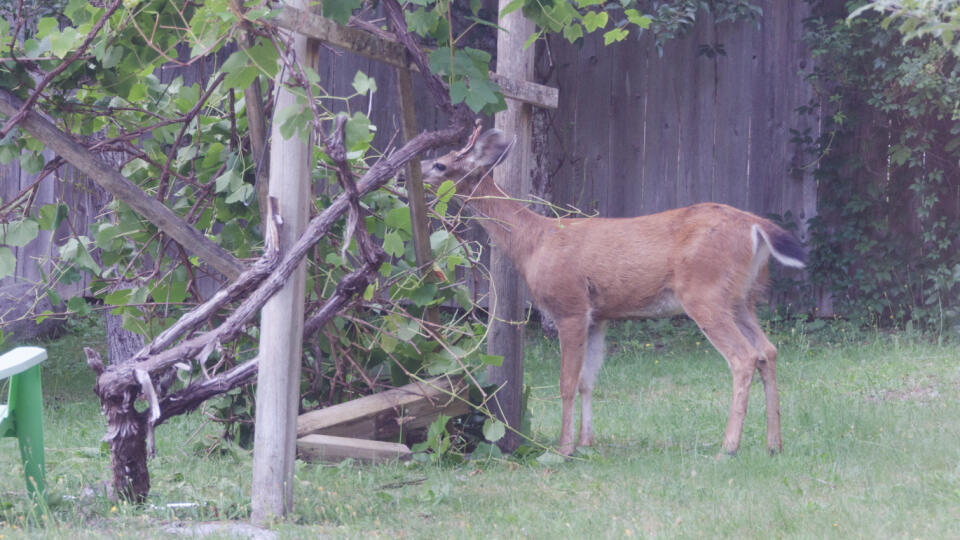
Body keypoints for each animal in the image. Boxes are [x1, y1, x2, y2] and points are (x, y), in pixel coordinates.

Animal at [424, 126, 808, 456]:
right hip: (742, 298)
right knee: (768, 350)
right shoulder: (599, 316)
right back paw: (774, 444)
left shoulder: (570, 306)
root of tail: (757, 226)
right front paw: (586, 442)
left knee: (744, 357)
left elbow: (566, 382)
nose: (415, 171)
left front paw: (564, 448)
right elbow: (587, 381)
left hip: (706, 293)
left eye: (440, 163)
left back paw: (728, 447)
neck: (533, 242)